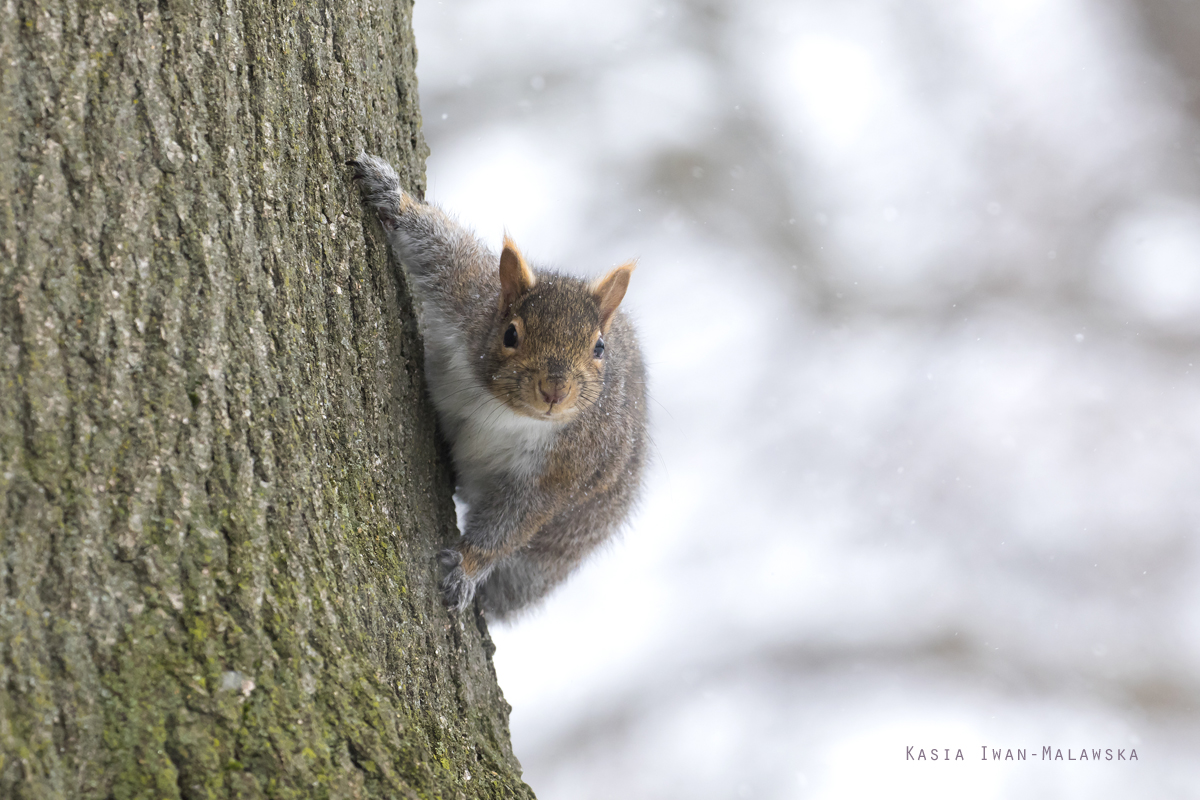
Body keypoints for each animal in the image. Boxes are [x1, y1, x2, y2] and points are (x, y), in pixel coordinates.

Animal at [348, 153, 648, 623]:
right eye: (510, 334)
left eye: (599, 347)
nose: (554, 390)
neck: (503, 407)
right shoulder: (470, 300)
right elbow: (442, 252)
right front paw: (391, 195)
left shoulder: (568, 465)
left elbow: (513, 522)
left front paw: (466, 569)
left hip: (555, 552)